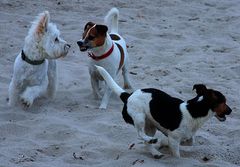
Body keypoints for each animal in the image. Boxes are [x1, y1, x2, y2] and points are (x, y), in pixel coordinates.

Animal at [95, 65, 232, 158]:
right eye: (224, 101)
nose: (231, 110)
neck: (193, 110)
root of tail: (128, 95)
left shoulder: (184, 137)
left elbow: (189, 142)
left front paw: (164, 143)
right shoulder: (174, 139)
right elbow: (177, 155)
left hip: (150, 125)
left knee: (145, 141)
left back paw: (155, 152)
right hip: (139, 117)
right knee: (140, 134)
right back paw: (152, 142)